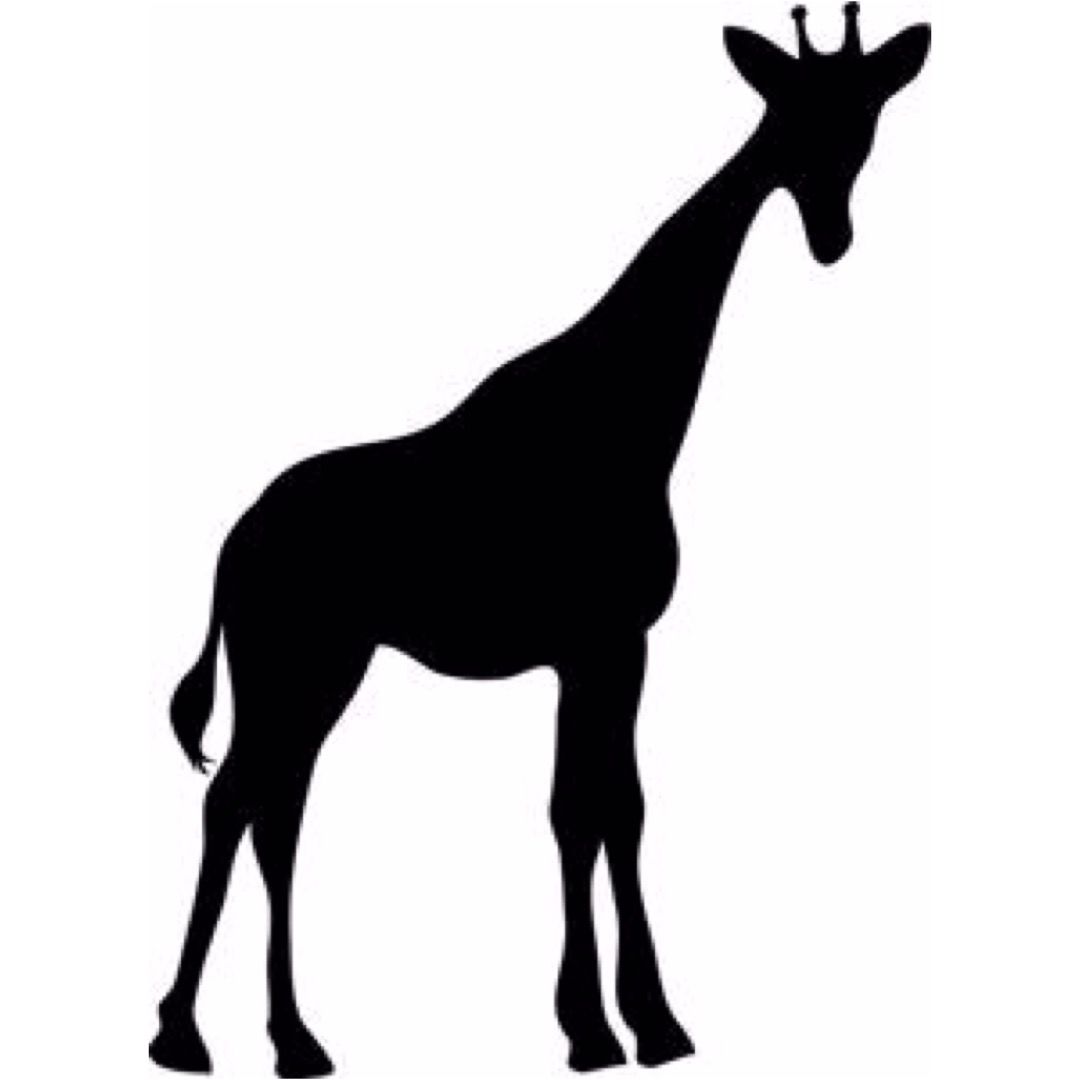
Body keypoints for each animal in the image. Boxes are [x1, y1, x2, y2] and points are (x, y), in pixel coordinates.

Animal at [151, 6, 930, 1076]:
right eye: (793, 113)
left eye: (865, 116)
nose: (831, 236)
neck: (630, 413)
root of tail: (231, 548)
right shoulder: (606, 640)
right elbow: (592, 811)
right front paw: (618, 1026)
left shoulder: (600, 649)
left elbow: (603, 809)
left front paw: (624, 1023)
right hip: (298, 665)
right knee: (236, 803)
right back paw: (184, 1034)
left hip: (317, 670)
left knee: (275, 813)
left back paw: (293, 1039)